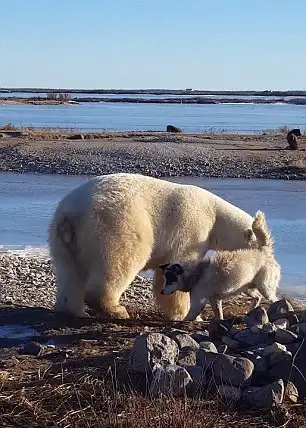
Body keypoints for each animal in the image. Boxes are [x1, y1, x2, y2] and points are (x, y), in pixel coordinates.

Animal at [49, 172, 256, 320]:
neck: (214, 213)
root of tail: (71, 215)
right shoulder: (192, 228)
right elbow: (178, 267)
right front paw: (184, 314)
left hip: (63, 239)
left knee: (70, 273)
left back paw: (74, 310)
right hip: (116, 225)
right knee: (120, 262)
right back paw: (117, 310)